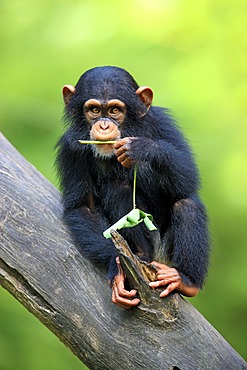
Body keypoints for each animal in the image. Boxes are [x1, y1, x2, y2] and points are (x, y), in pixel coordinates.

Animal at [56, 66, 210, 310]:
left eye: (115, 110)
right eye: (94, 110)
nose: (104, 125)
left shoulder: (162, 123)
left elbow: (188, 179)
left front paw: (141, 147)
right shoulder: (70, 149)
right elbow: (82, 206)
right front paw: (115, 267)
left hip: (165, 255)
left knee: (187, 204)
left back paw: (187, 281)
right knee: (116, 187)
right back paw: (138, 255)